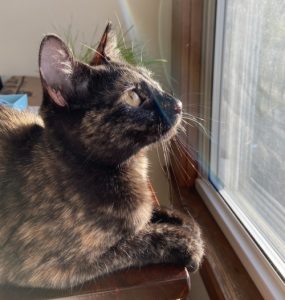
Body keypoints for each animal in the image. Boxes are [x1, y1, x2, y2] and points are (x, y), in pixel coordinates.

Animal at [0, 22, 204, 288]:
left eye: (154, 81)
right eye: (133, 96)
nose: (177, 104)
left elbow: (152, 212)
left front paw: (183, 221)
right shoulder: (47, 265)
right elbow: (137, 241)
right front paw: (186, 242)